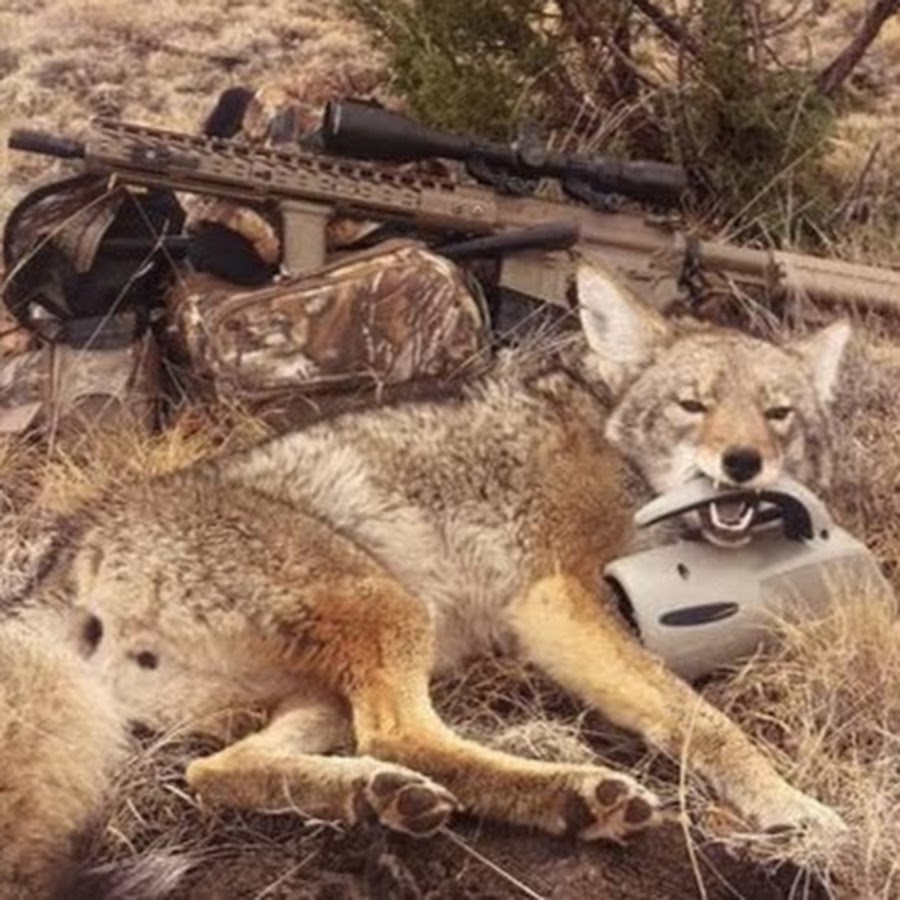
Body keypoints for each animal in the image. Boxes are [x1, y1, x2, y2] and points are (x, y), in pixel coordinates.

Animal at [0, 261, 851, 898]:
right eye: (691, 405)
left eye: (777, 414)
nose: (742, 465)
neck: (616, 449)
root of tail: (68, 550)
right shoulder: (559, 597)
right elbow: (705, 721)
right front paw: (793, 807)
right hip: (392, 608)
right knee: (403, 734)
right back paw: (574, 796)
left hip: (318, 698)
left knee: (215, 772)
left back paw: (372, 796)